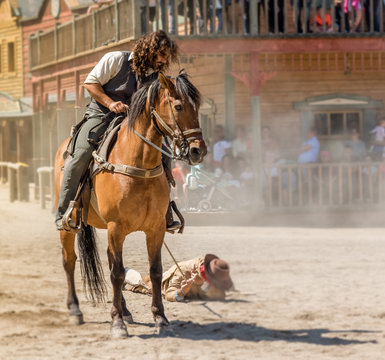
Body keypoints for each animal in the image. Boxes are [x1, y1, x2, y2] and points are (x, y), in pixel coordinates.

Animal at [54, 72, 207, 338]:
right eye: (178, 106)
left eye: (197, 107)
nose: (199, 150)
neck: (138, 163)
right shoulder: (116, 226)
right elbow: (116, 274)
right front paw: (117, 324)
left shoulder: (155, 228)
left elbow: (154, 271)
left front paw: (160, 318)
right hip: (71, 226)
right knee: (70, 260)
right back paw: (75, 309)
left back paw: (124, 310)